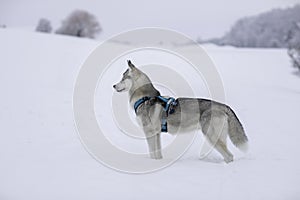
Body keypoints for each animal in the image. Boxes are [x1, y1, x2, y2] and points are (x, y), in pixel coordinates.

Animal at [113, 60, 248, 162]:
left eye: (123, 79)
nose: (113, 86)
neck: (144, 97)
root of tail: (223, 106)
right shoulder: (157, 133)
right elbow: (158, 153)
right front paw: (158, 162)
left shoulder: (149, 132)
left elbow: (152, 153)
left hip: (211, 136)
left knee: (229, 156)